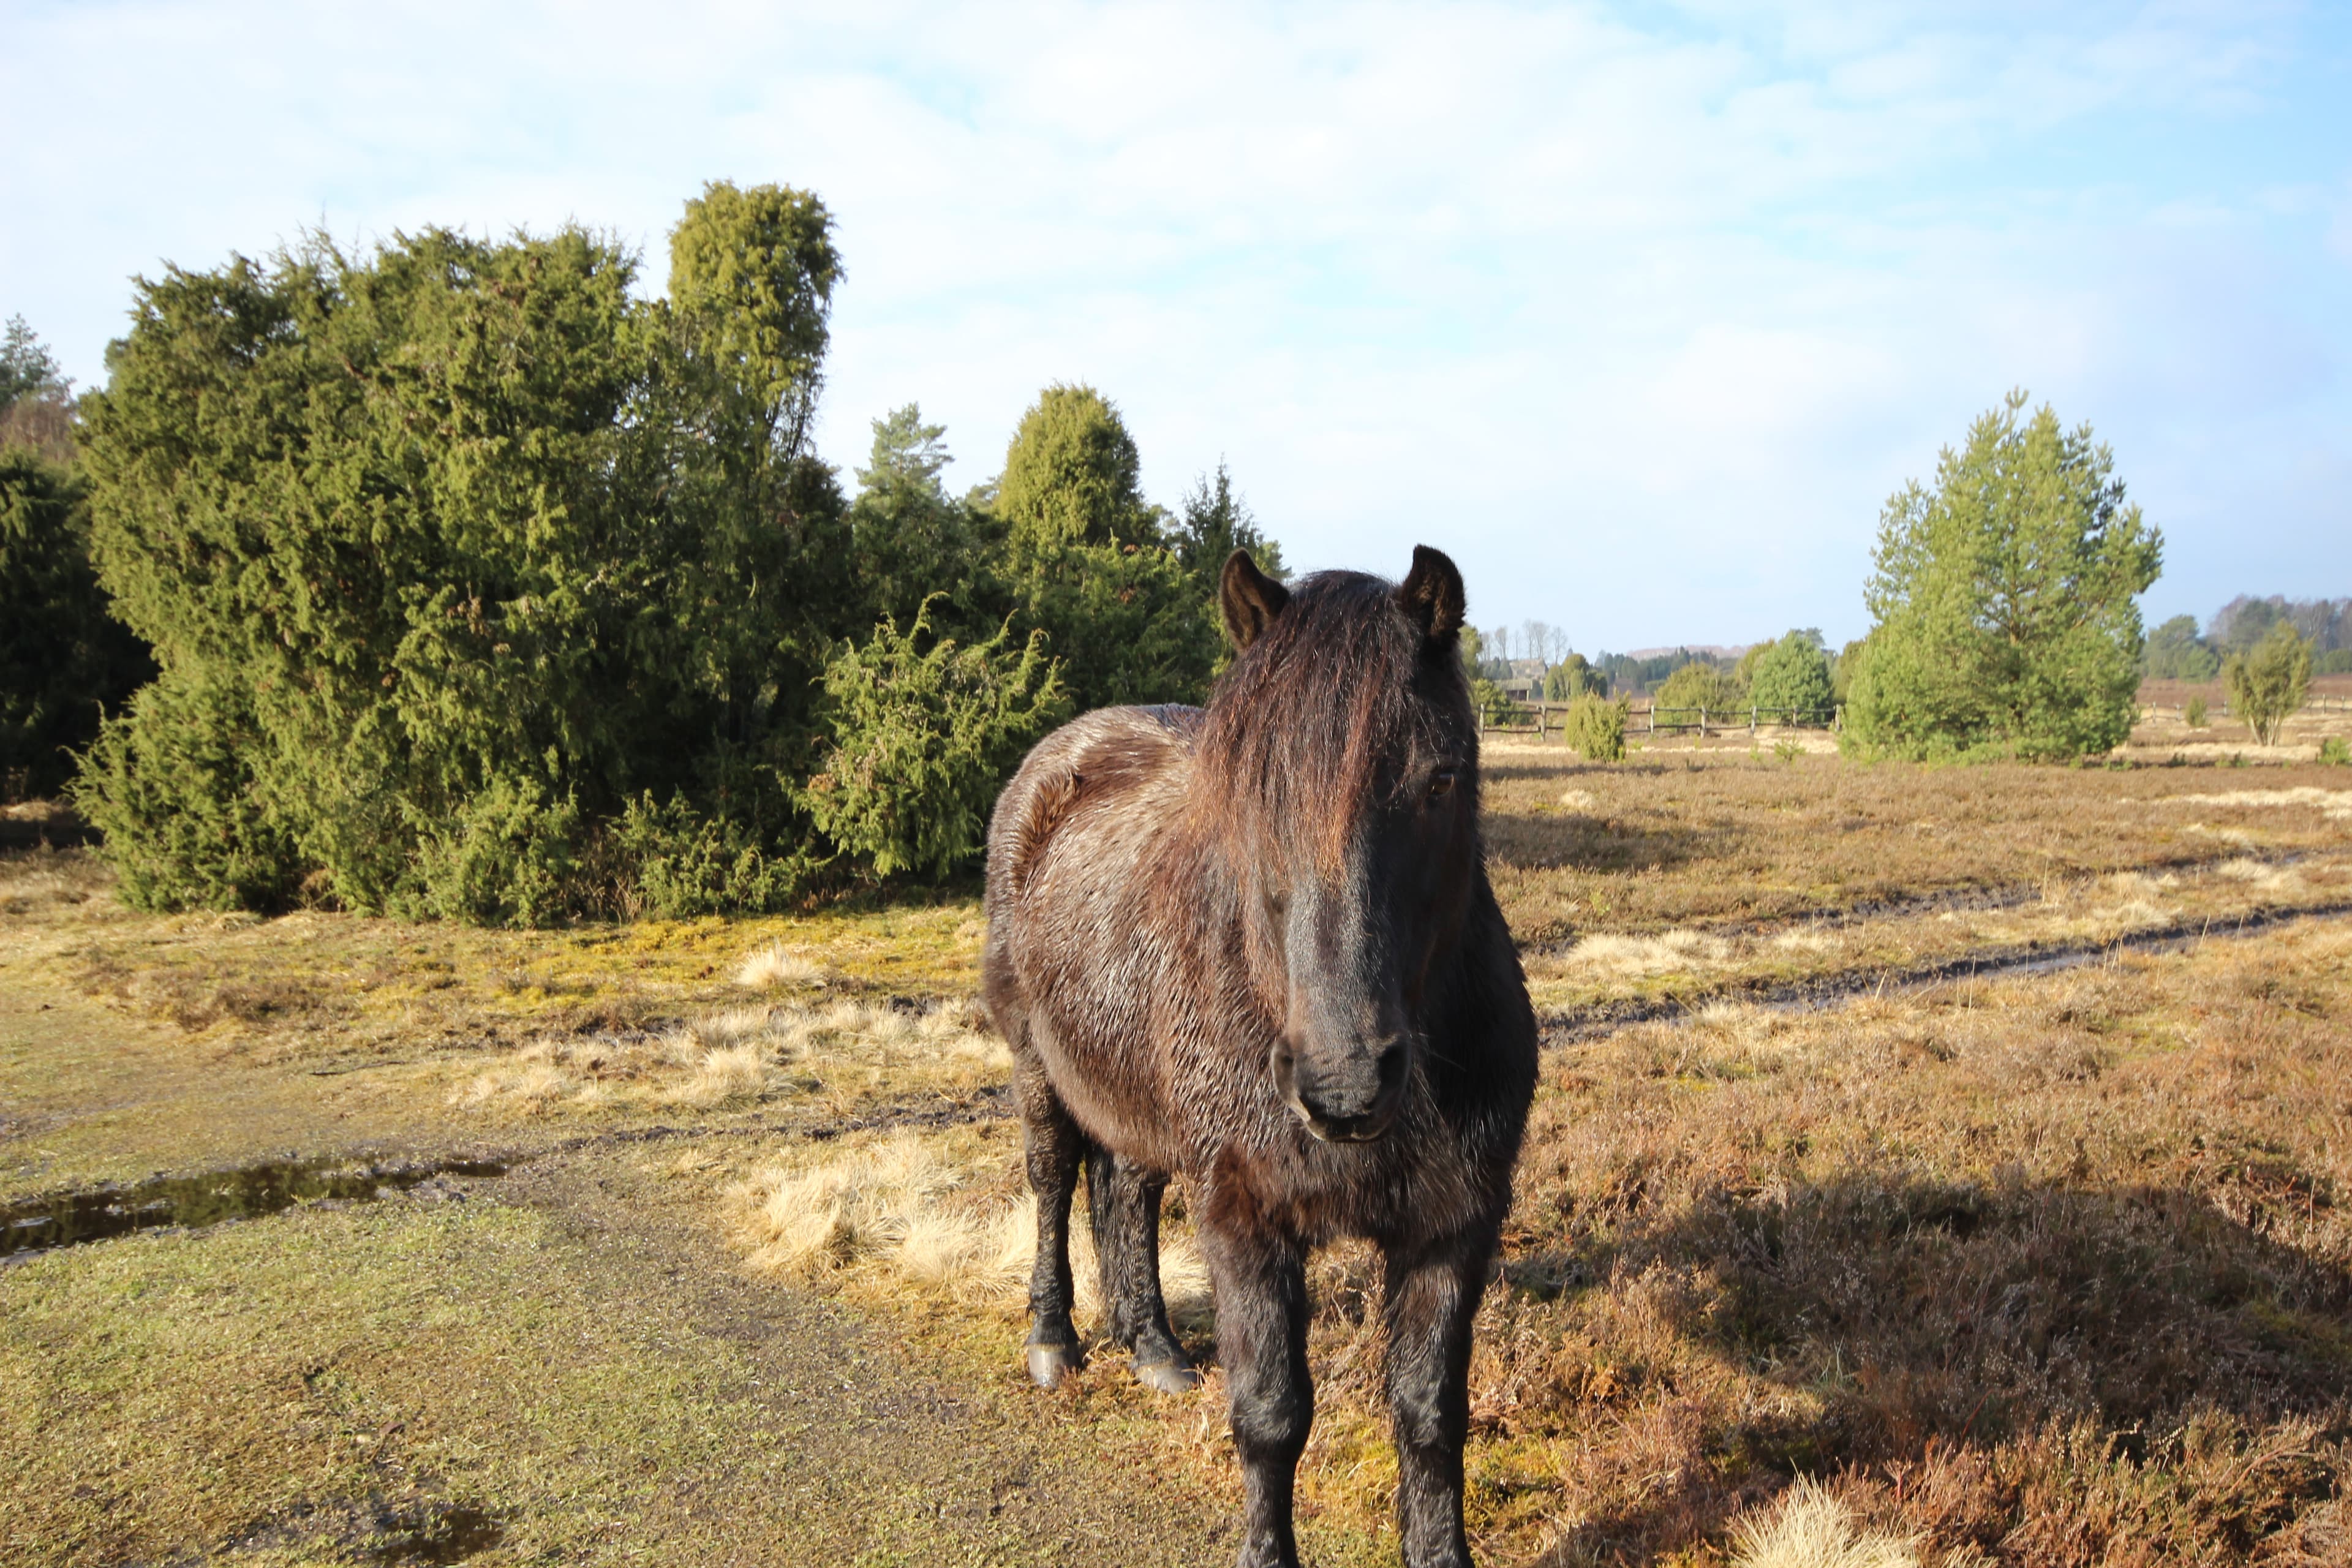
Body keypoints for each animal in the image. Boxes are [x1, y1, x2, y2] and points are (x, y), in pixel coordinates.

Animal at [983, 545, 1533, 1561]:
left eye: (1439, 782)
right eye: (1253, 788)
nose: (1345, 1084)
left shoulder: (1454, 1223)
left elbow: (1431, 1415)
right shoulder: (1244, 1216)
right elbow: (1273, 1416)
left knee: (1127, 1186)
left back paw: (1153, 1347)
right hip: (1036, 1066)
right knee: (1052, 1178)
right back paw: (1054, 1340)